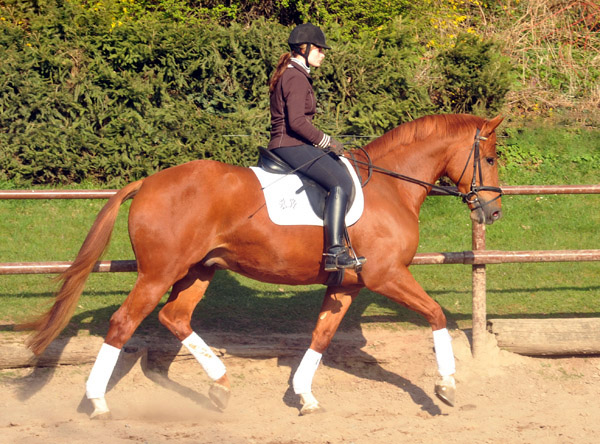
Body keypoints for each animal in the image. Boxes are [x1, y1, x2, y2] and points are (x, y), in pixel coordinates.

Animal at [23, 112, 502, 418]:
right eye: (491, 158)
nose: (493, 212)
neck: (390, 186)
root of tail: (148, 182)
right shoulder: (386, 275)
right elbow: (436, 314)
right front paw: (447, 386)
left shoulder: (347, 283)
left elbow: (321, 335)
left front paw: (304, 396)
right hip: (158, 273)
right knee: (124, 323)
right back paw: (97, 402)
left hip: (199, 270)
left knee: (174, 317)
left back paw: (220, 386)